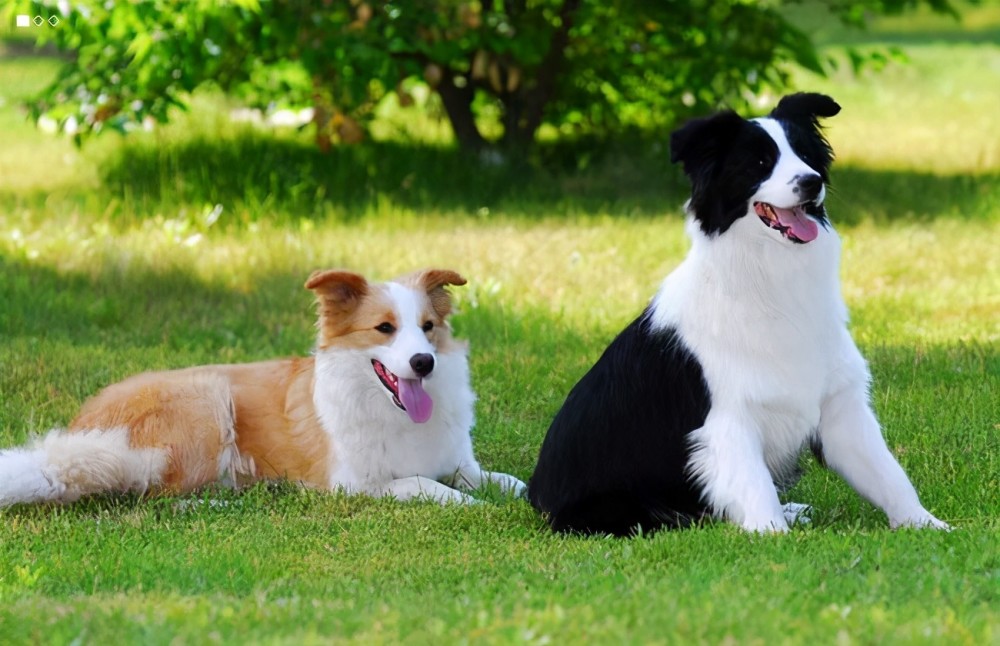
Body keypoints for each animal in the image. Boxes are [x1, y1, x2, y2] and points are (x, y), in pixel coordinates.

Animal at [0, 268, 528, 506]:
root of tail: (84, 430)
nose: (424, 362)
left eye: (428, 326)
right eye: (384, 329)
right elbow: (427, 484)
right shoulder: (355, 483)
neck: (385, 405)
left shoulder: (459, 463)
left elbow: (505, 481)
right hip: (208, 400)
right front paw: (473, 507)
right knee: (157, 493)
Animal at [528, 92, 948, 536]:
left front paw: (927, 525)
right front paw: (775, 537)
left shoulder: (840, 406)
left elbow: (887, 474)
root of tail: (535, 496)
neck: (770, 286)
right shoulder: (727, 419)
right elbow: (755, 488)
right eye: (760, 163)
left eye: (805, 154)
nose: (811, 181)